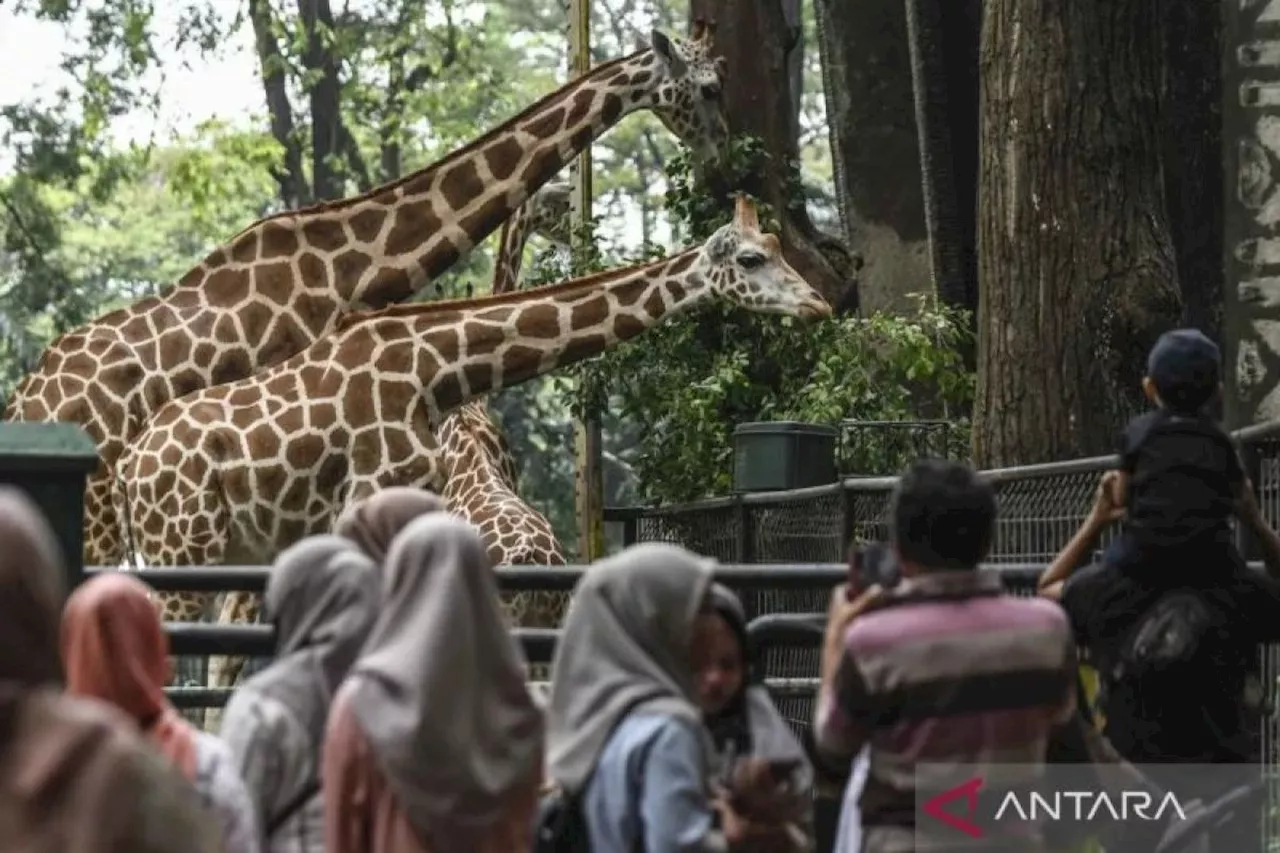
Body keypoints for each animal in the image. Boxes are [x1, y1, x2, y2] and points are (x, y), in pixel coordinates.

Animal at [110, 197, 829, 604]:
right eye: (751, 259)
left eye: (777, 247)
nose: (819, 303)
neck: (438, 371)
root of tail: (129, 470)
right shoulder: (372, 500)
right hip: (183, 551)